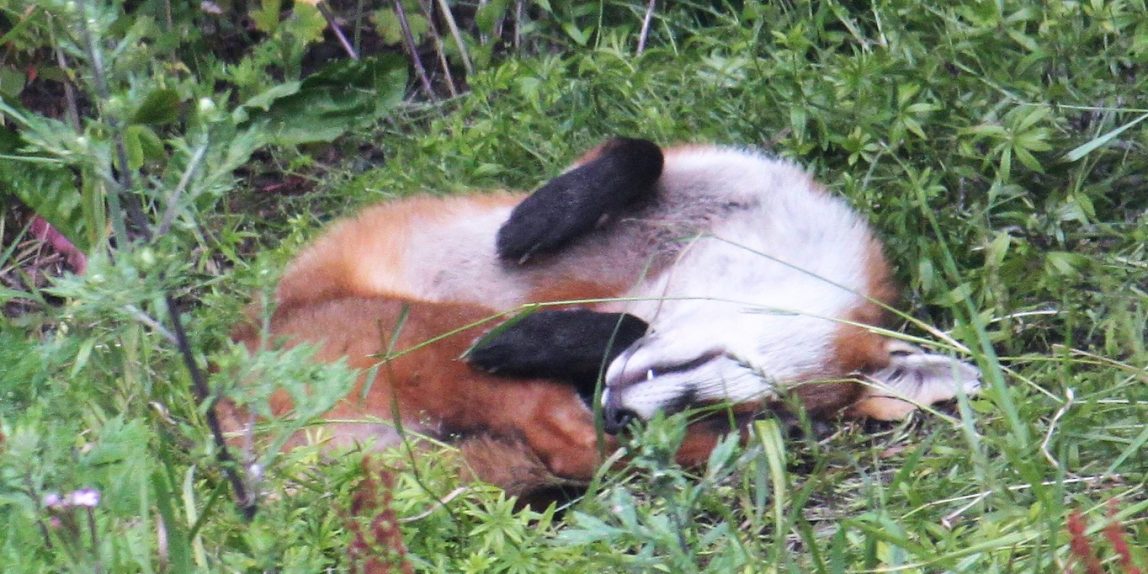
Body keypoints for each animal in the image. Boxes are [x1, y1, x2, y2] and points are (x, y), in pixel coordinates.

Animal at [227, 137, 981, 496]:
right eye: (723, 369)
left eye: (735, 410)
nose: (622, 413)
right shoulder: (713, 171)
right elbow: (634, 152)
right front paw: (529, 228)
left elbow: (621, 336)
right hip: (433, 329)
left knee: (571, 450)